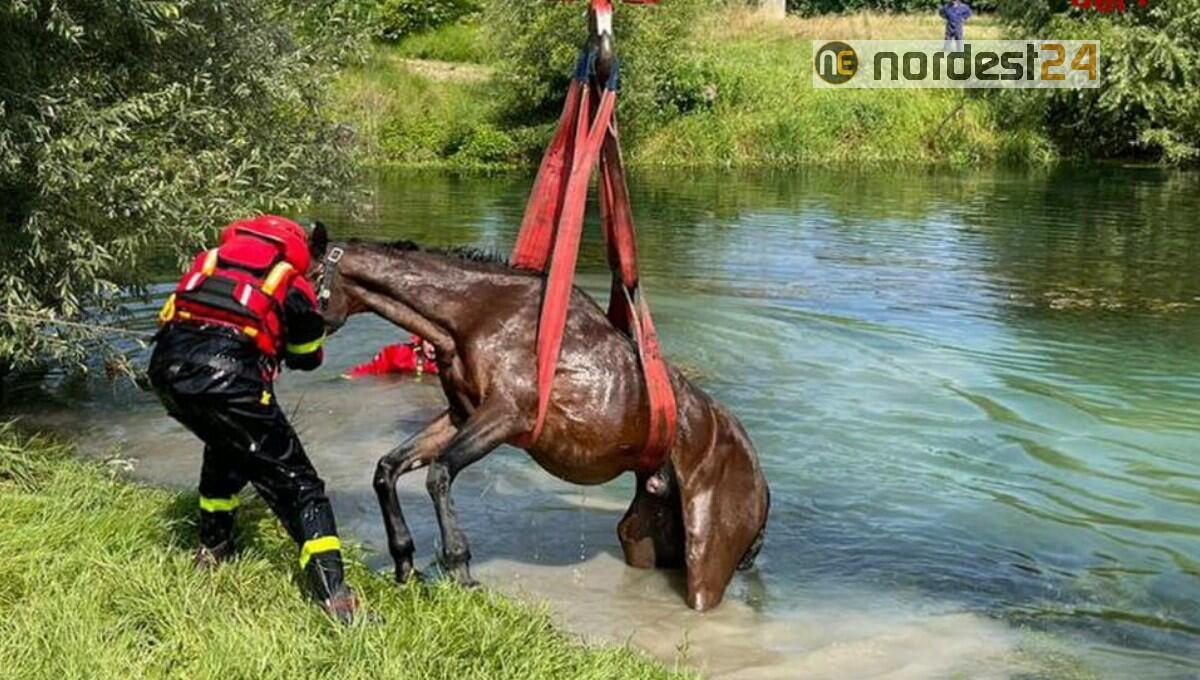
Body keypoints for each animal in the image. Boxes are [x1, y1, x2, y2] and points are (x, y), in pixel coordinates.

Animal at [308, 224, 769, 611]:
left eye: (307, 277)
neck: (478, 315)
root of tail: (758, 476)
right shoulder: (460, 415)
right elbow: (388, 468)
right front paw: (405, 563)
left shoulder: (504, 416)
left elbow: (438, 474)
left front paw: (460, 568)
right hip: (647, 539)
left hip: (706, 566)